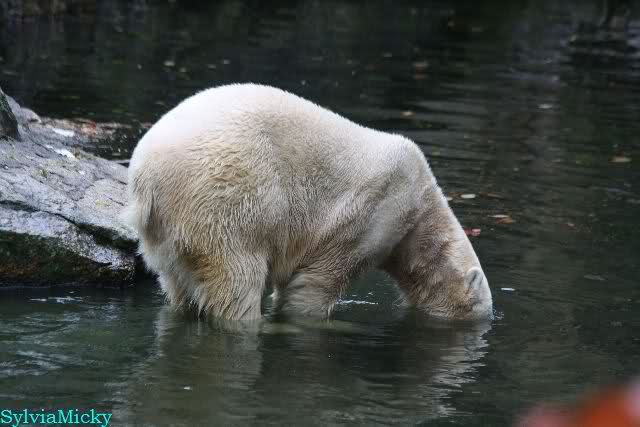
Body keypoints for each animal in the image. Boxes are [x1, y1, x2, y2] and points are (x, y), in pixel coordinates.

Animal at [124, 83, 493, 321]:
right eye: (479, 309)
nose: (486, 321)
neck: (422, 212)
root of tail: (145, 174)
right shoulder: (376, 211)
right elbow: (314, 283)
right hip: (224, 199)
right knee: (236, 278)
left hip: (167, 233)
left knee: (178, 284)